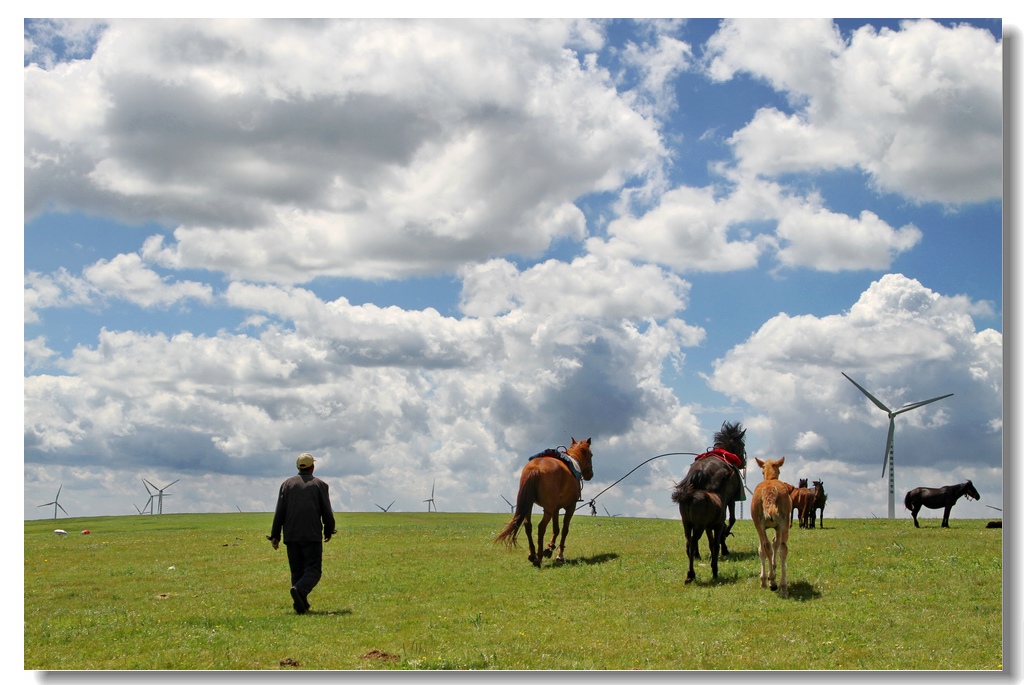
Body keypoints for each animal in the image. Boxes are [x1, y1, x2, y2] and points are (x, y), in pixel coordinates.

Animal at [671, 421, 745, 557]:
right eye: (742, 444)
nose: (744, 462)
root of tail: (701, 470)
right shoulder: (730, 499)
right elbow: (731, 520)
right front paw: (724, 541)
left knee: (694, 534)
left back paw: (696, 553)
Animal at [749, 456, 794, 593]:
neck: (770, 479)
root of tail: (769, 490)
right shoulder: (778, 527)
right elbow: (775, 543)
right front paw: (771, 571)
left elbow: (764, 548)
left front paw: (766, 577)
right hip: (784, 523)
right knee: (781, 547)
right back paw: (779, 584)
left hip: (759, 524)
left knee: (767, 546)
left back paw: (773, 581)